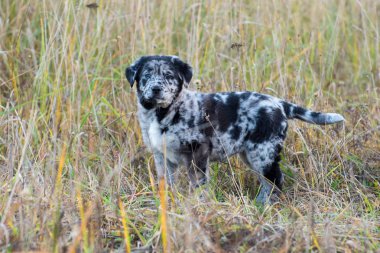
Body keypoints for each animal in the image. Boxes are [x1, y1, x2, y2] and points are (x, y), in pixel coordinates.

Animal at [125, 54, 344, 204]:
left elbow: (198, 184)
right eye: (146, 75)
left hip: (263, 153)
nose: (156, 89)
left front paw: (198, 205)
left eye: (169, 75)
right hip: (251, 155)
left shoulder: (198, 153)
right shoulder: (161, 156)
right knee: (267, 183)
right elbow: (166, 183)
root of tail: (278, 104)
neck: (164, 112)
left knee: (276, 180)